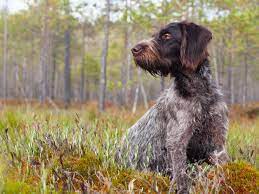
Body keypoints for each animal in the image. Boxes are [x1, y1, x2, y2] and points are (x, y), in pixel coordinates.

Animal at [117, 20, 230, 193]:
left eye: (166, 35)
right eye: (154, 35)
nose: (134, 49)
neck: (198, 92)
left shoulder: (217, 142)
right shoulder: (177, 141)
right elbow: (181, 174)